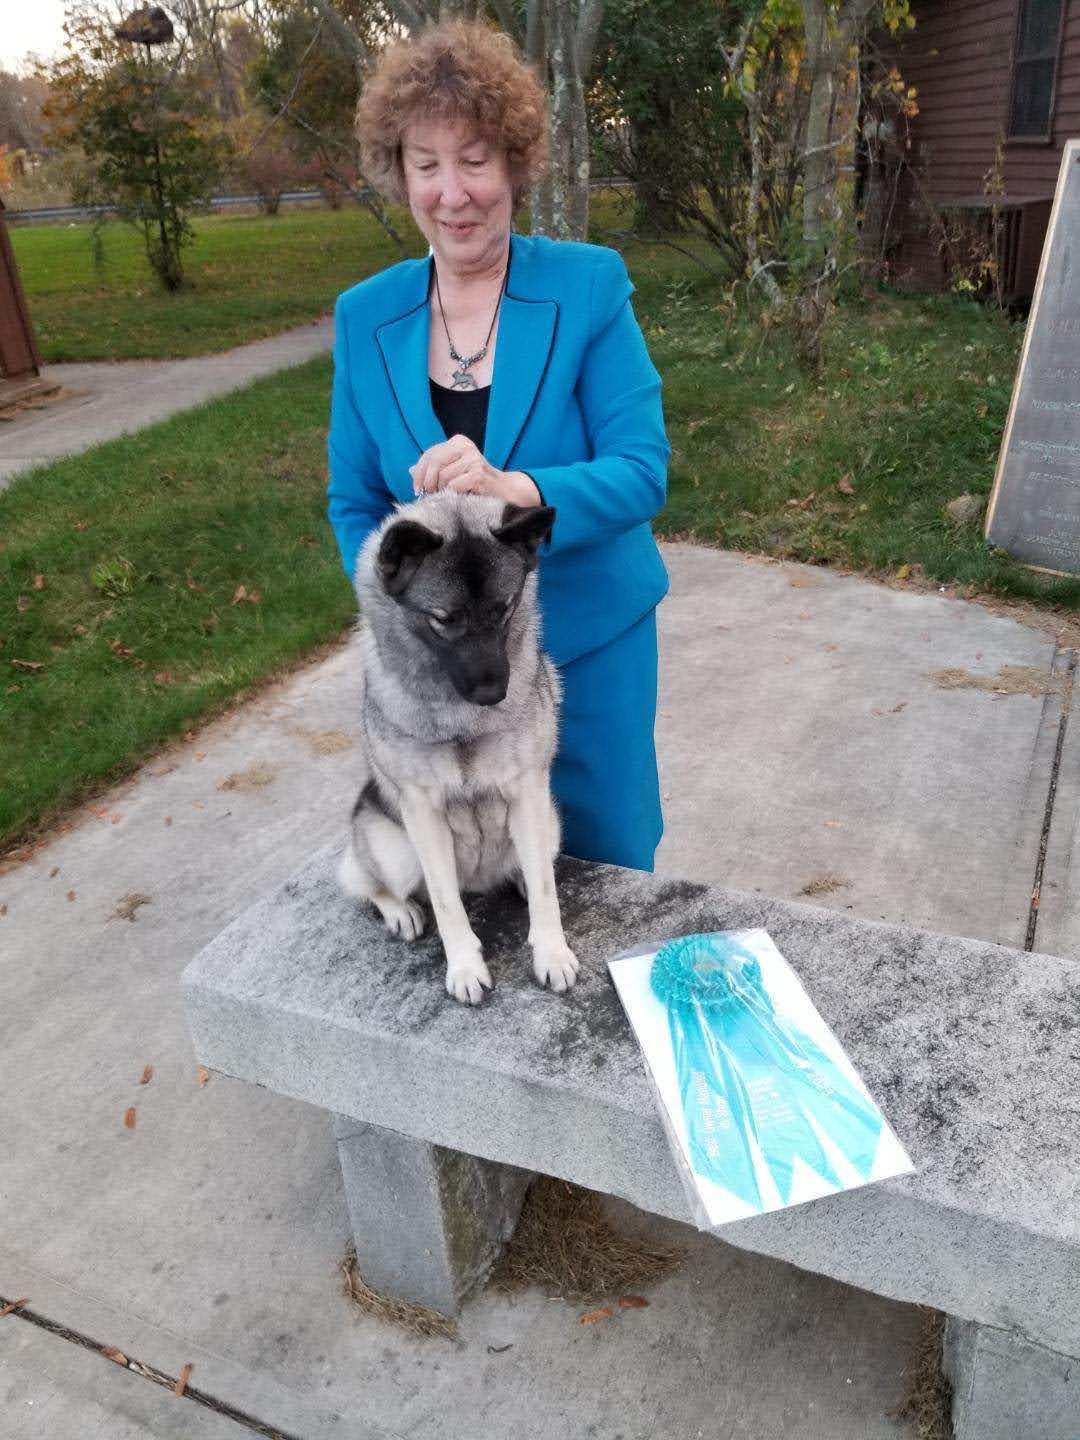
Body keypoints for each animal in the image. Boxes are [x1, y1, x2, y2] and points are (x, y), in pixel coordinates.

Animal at [338, 492, 580, 1005]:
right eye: (445, 619)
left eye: (505, 608)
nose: (493, 692)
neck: (461, 719)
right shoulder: (423, 812)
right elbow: (447, 905)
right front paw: (465, 967)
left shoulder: (527, 793)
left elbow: (545, 893)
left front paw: (551, 953)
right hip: (392, 847)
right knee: (369, 881)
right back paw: (400, 911)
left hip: (549, 822)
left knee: (534, 867)